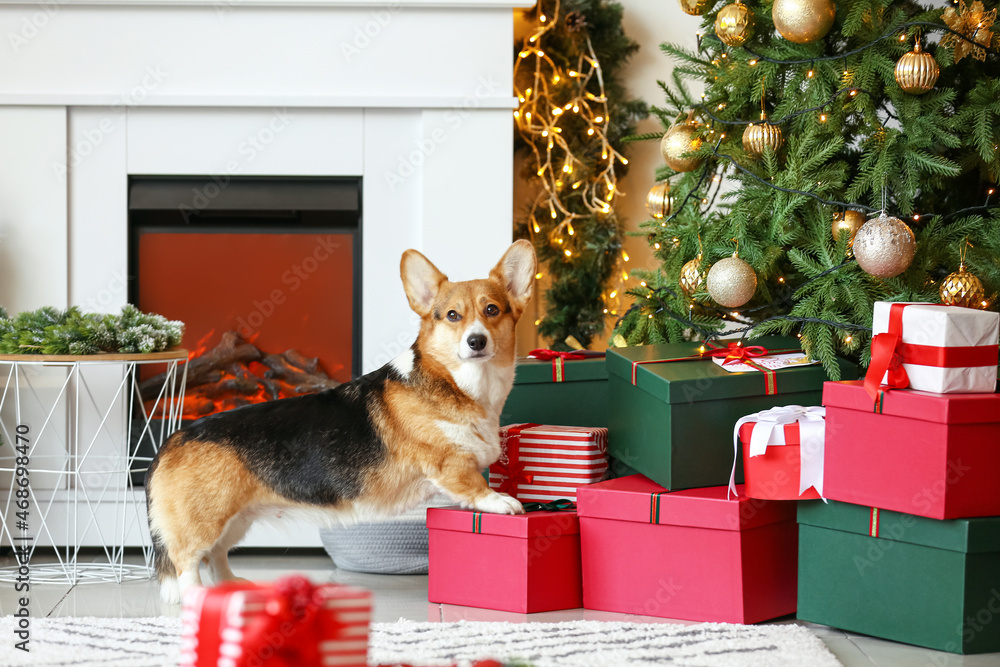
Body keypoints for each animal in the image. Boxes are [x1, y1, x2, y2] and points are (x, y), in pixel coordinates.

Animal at [145, 241, 536, 604]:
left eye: (491, 310)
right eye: (453, 315)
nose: (476, 341)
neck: (461, 384)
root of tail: (172, 439)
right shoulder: (449, 464)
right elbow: (473, 485)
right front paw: (501, 502)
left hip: (236, 519)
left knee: (216, 557)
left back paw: (231, 585)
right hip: (205, 520)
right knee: (188, 562)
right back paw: (198, 596)